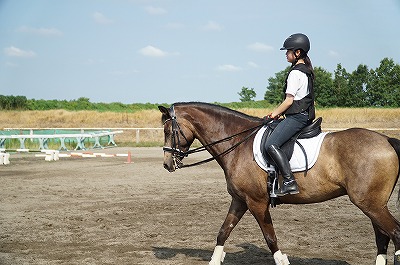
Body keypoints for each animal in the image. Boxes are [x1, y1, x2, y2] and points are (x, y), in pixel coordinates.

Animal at [158, 101, 398, 264]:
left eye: (169, 131)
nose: (167, 163)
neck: (238, 143)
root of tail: (386, 139)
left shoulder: (257, 202)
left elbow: (270, 238)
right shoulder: (240, 200)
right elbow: (223, 231)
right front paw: (215, 259)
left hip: (370, 204)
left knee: (394, 233)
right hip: (374, 205)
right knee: (382, 238)